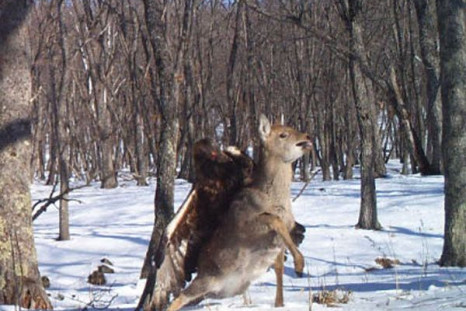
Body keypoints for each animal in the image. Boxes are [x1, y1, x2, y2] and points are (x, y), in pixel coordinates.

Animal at [166, 115, 312, 311]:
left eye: (291, 127)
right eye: (283, 134)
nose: (307, 137)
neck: (276, 200)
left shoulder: (282, 237)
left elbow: (279, 267)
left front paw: (280, 302)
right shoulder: (247, 225)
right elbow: (274, 220)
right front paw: (299, 266)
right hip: (205, 280)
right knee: (179, 298)